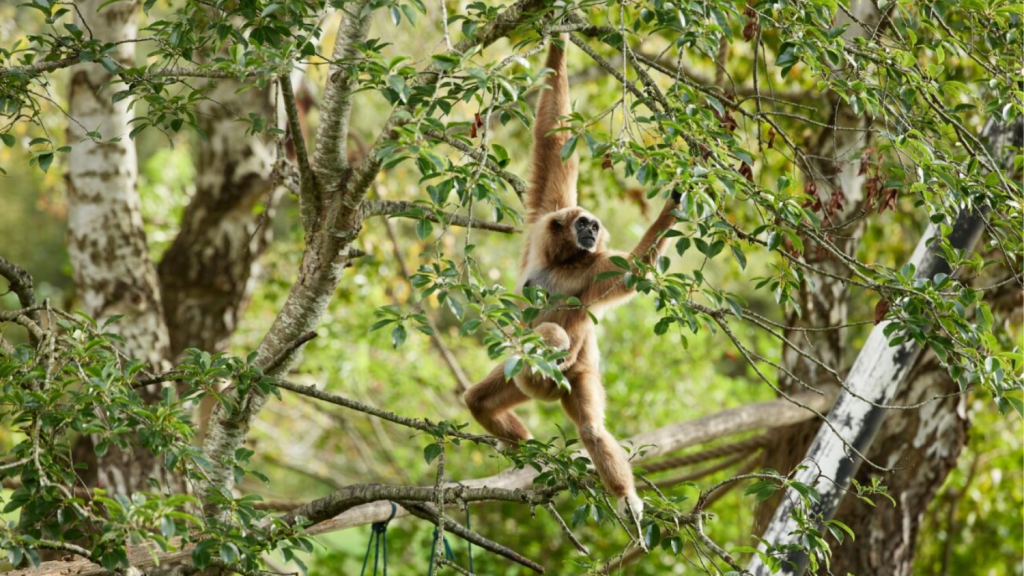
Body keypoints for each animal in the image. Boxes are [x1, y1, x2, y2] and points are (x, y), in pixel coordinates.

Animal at [463, 35, 680, 523]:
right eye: (584, 223)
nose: (592, 232)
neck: (558, 261)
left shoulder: (595, 269)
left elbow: (632, 271)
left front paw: (674, 205)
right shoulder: (545, 216)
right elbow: (553, 137)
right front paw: (558, 43)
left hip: (576, 375)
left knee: (588, 419)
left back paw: (623, 495)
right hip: (518, 376)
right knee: (479, 400)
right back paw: (528, 454)